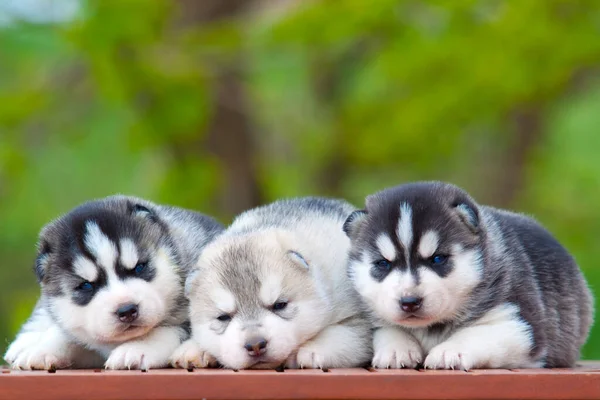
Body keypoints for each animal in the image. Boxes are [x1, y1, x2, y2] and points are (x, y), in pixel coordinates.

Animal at [2, 195, 223, 370]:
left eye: (139, 267)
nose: (127, 310)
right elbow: (64, 333)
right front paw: (42, 350)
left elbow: (175, 328)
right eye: (86, 285)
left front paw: (138, 347)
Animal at [171, 198, 372, 370]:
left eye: (280, 305)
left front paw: (311, 349)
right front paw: (194, 348)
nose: (255, 345)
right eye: (223, 317)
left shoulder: (359, 318)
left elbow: (344, 334)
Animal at [344, 181, 592, 368]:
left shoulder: (520, 323)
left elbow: (477, 334)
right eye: (383, 264)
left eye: (438, 259)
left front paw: (448, 352)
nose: (409, 301)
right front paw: (397, 348)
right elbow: (386, 328)